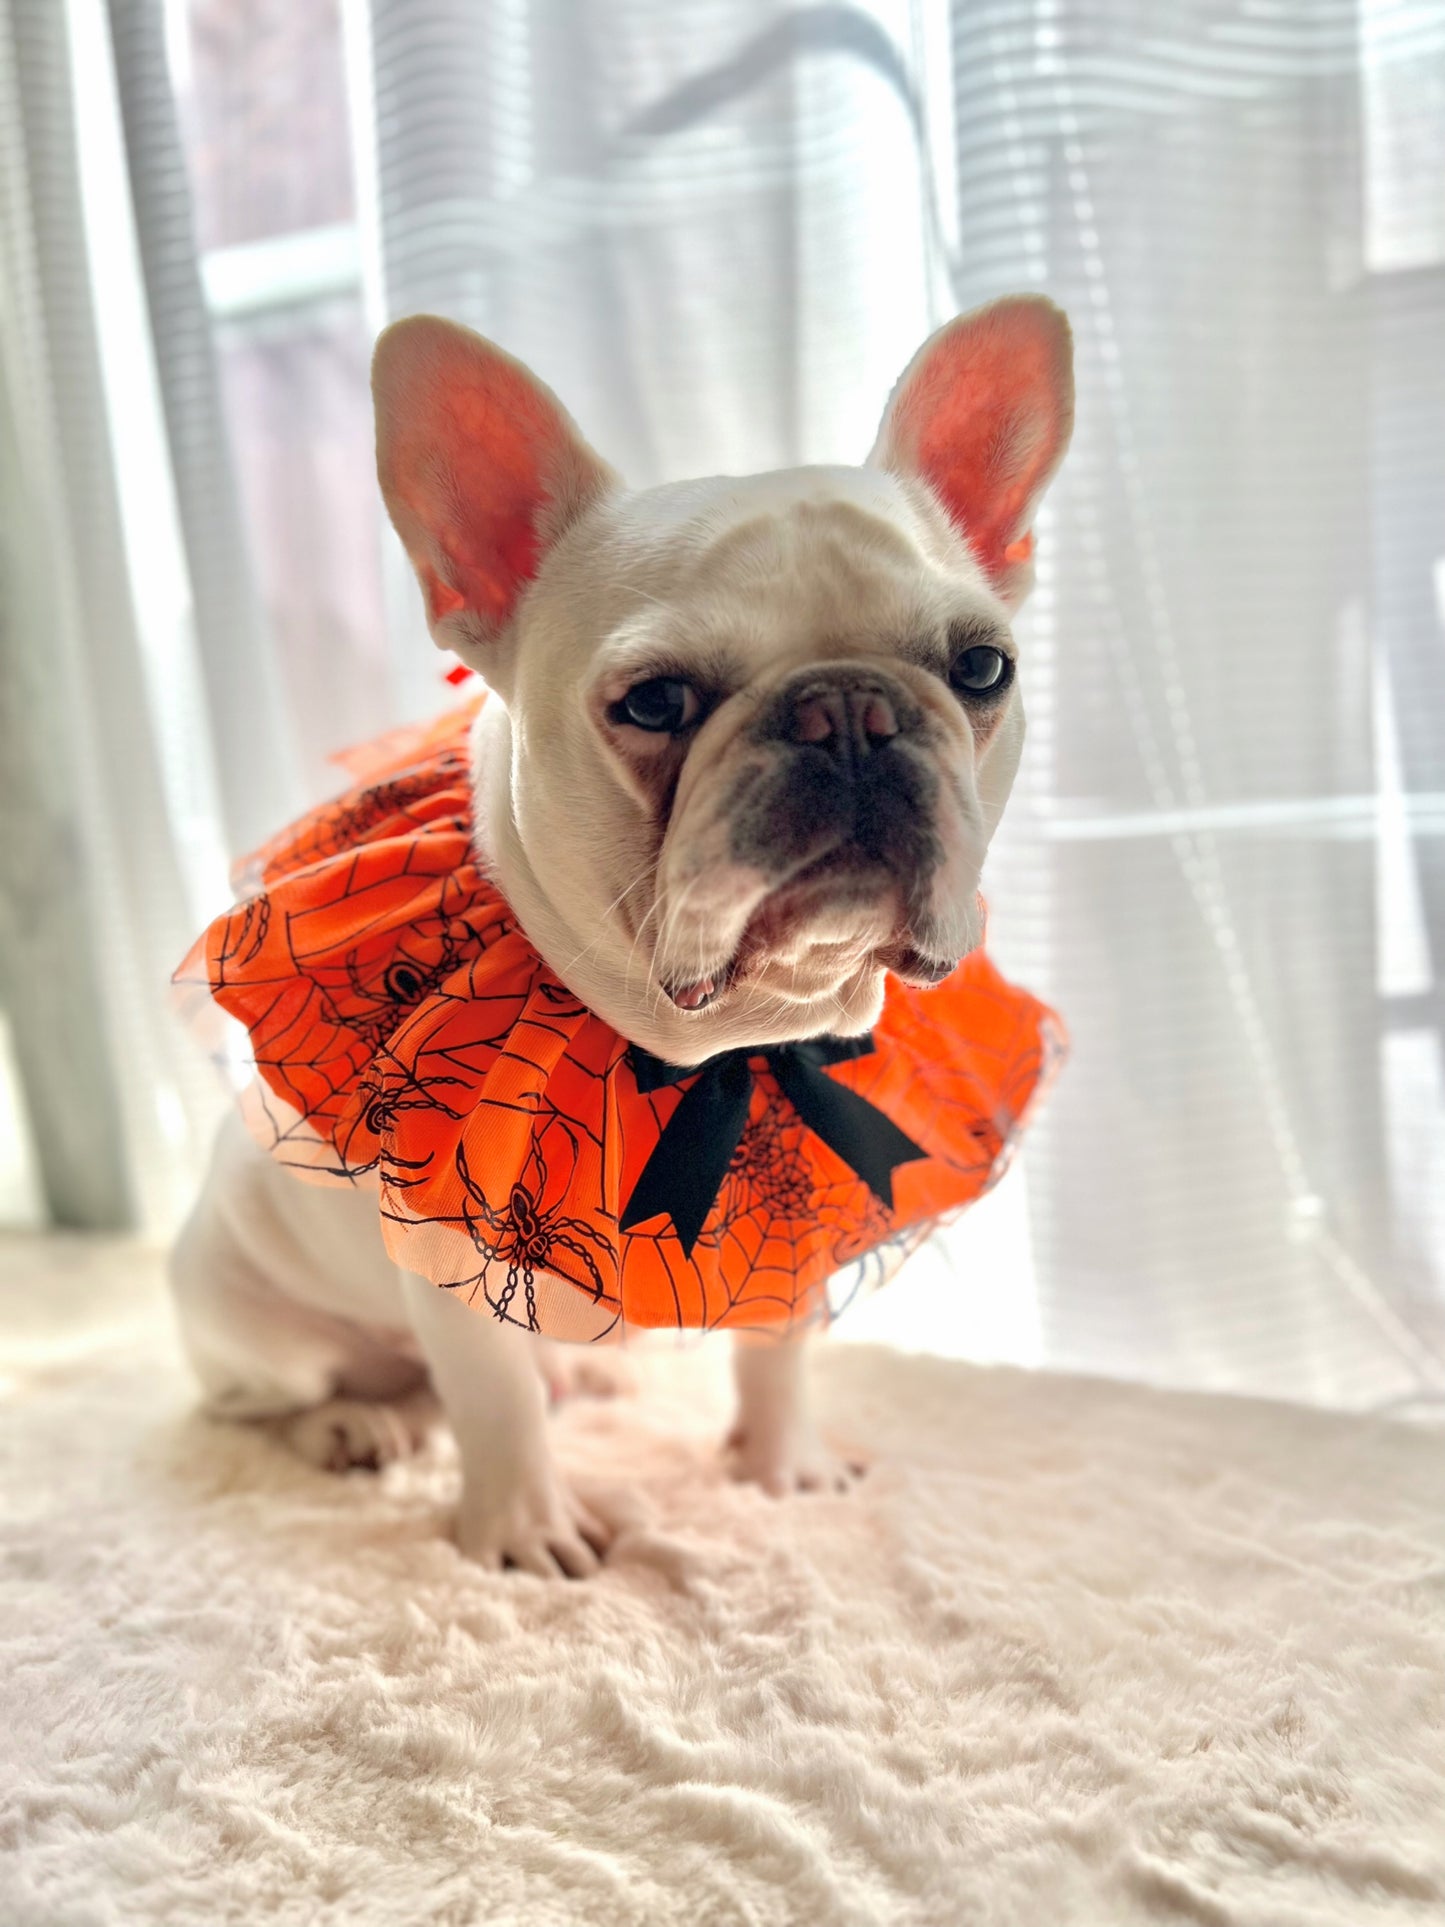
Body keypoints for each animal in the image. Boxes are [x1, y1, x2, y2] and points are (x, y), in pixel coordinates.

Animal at [172, 292, 1078, 1572]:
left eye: (981, 666)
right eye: (653, 701)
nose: (846, 709)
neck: (720, 1048)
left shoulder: (797, 1206)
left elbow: (777, 1348)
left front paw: (780, 1467)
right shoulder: (446, 1240)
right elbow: (490, 1397)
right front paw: (524, 1531)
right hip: (252, 1321)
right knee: (269, 1403)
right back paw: (356, 1423)